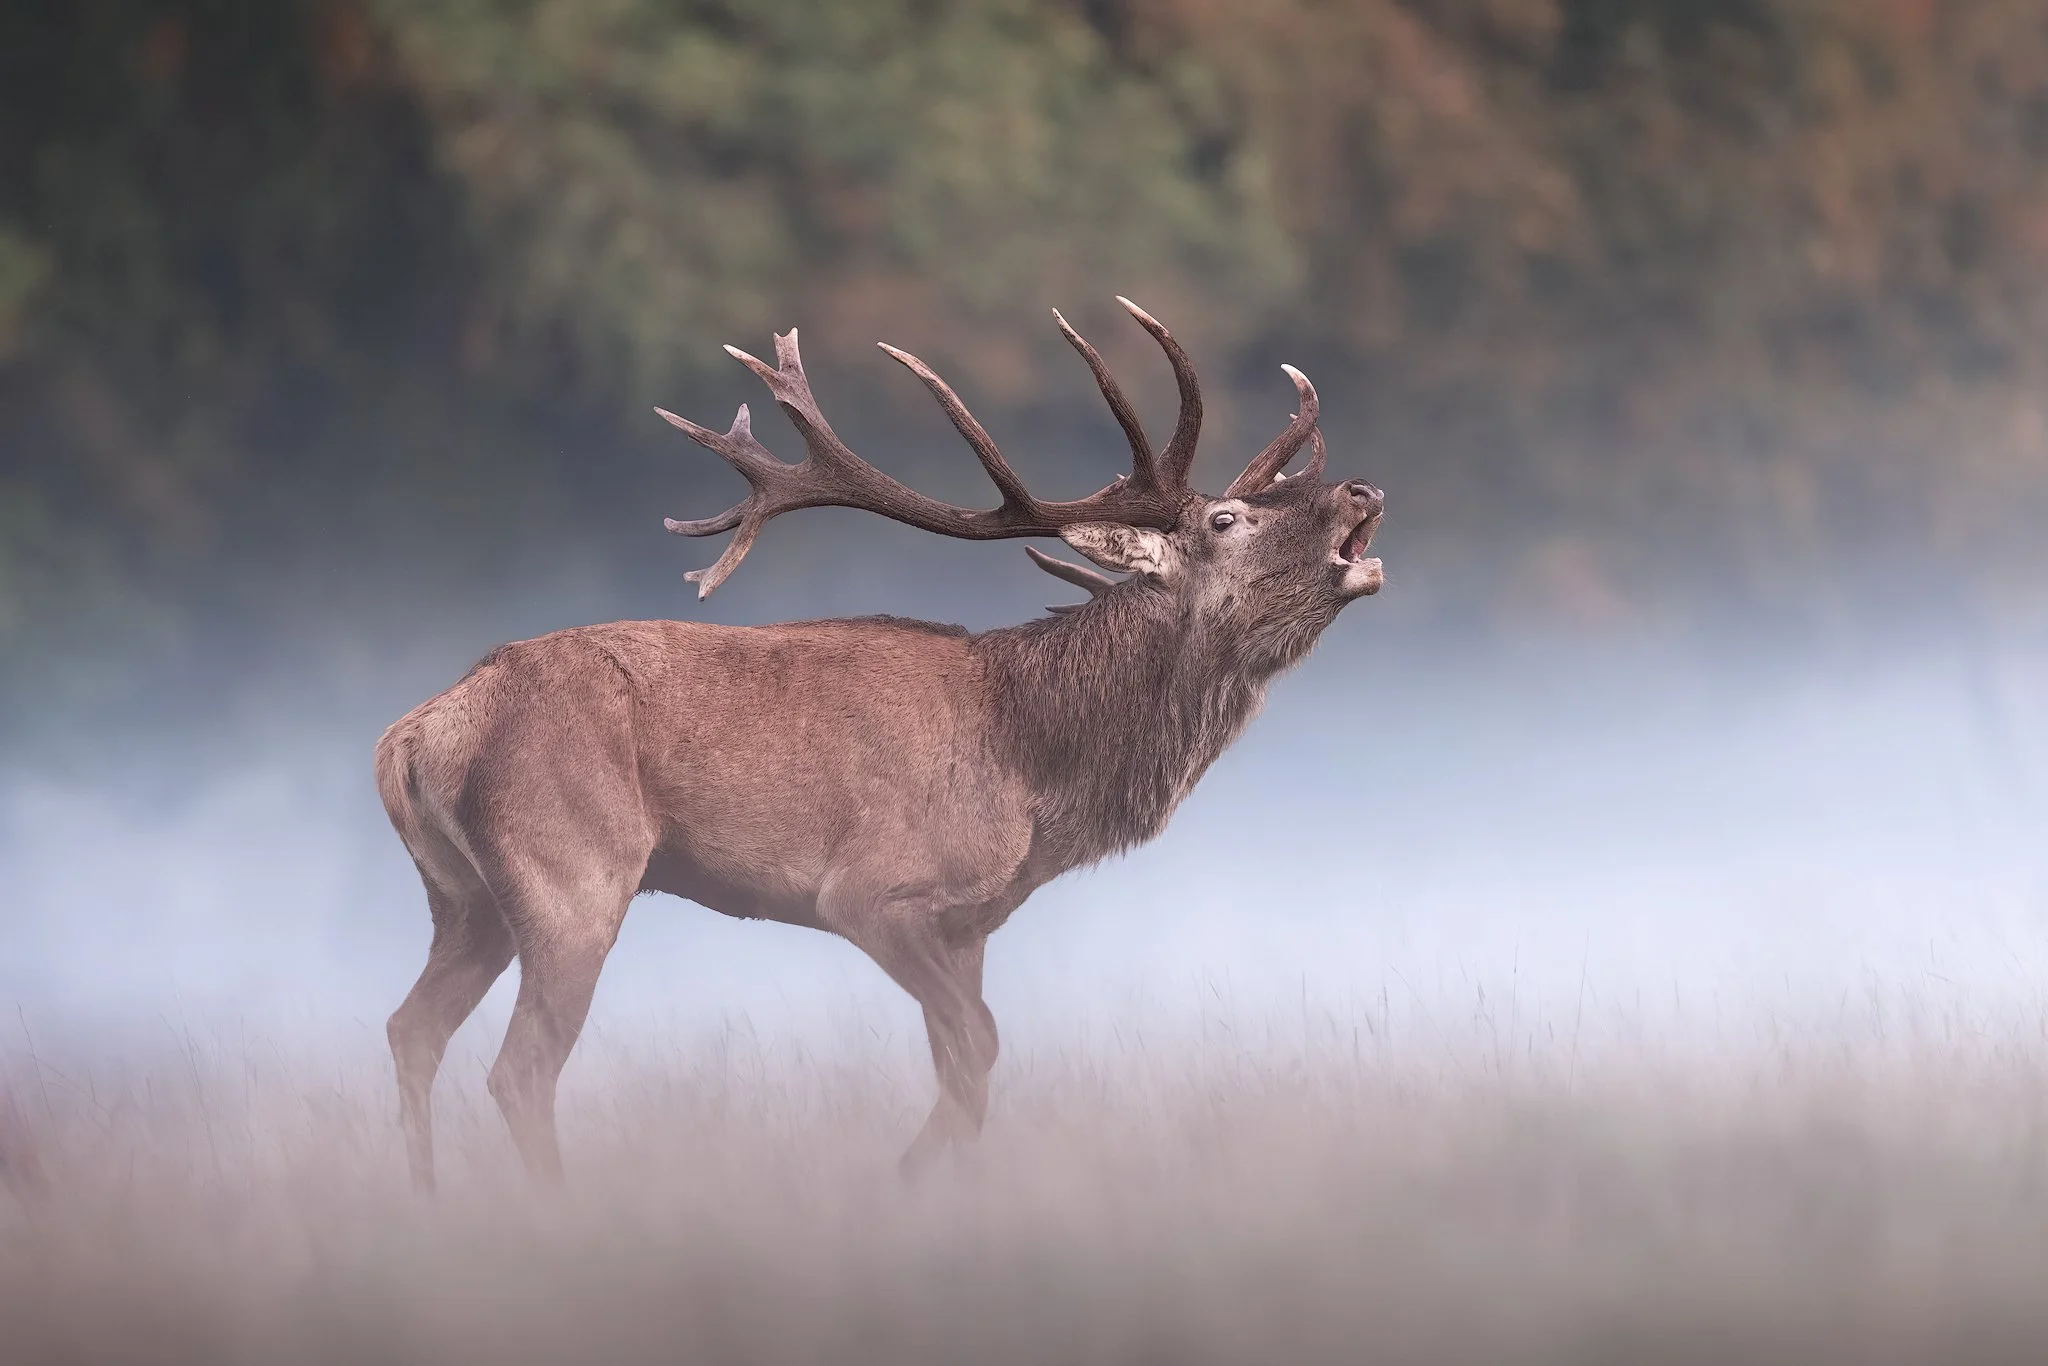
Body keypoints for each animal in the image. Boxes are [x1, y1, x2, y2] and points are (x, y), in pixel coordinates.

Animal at [375, 298, 1384, 1190]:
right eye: (1226, 521)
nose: (1360, 487)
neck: (1032, 763)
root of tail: (412, 734)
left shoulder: (970, 925)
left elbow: (966, 1072)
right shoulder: (873, 892)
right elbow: (979, 1049)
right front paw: (893, 1185)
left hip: (466, 898)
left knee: (410, 1029)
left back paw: (425, 1203)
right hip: (571, 870)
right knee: (520, 1069)